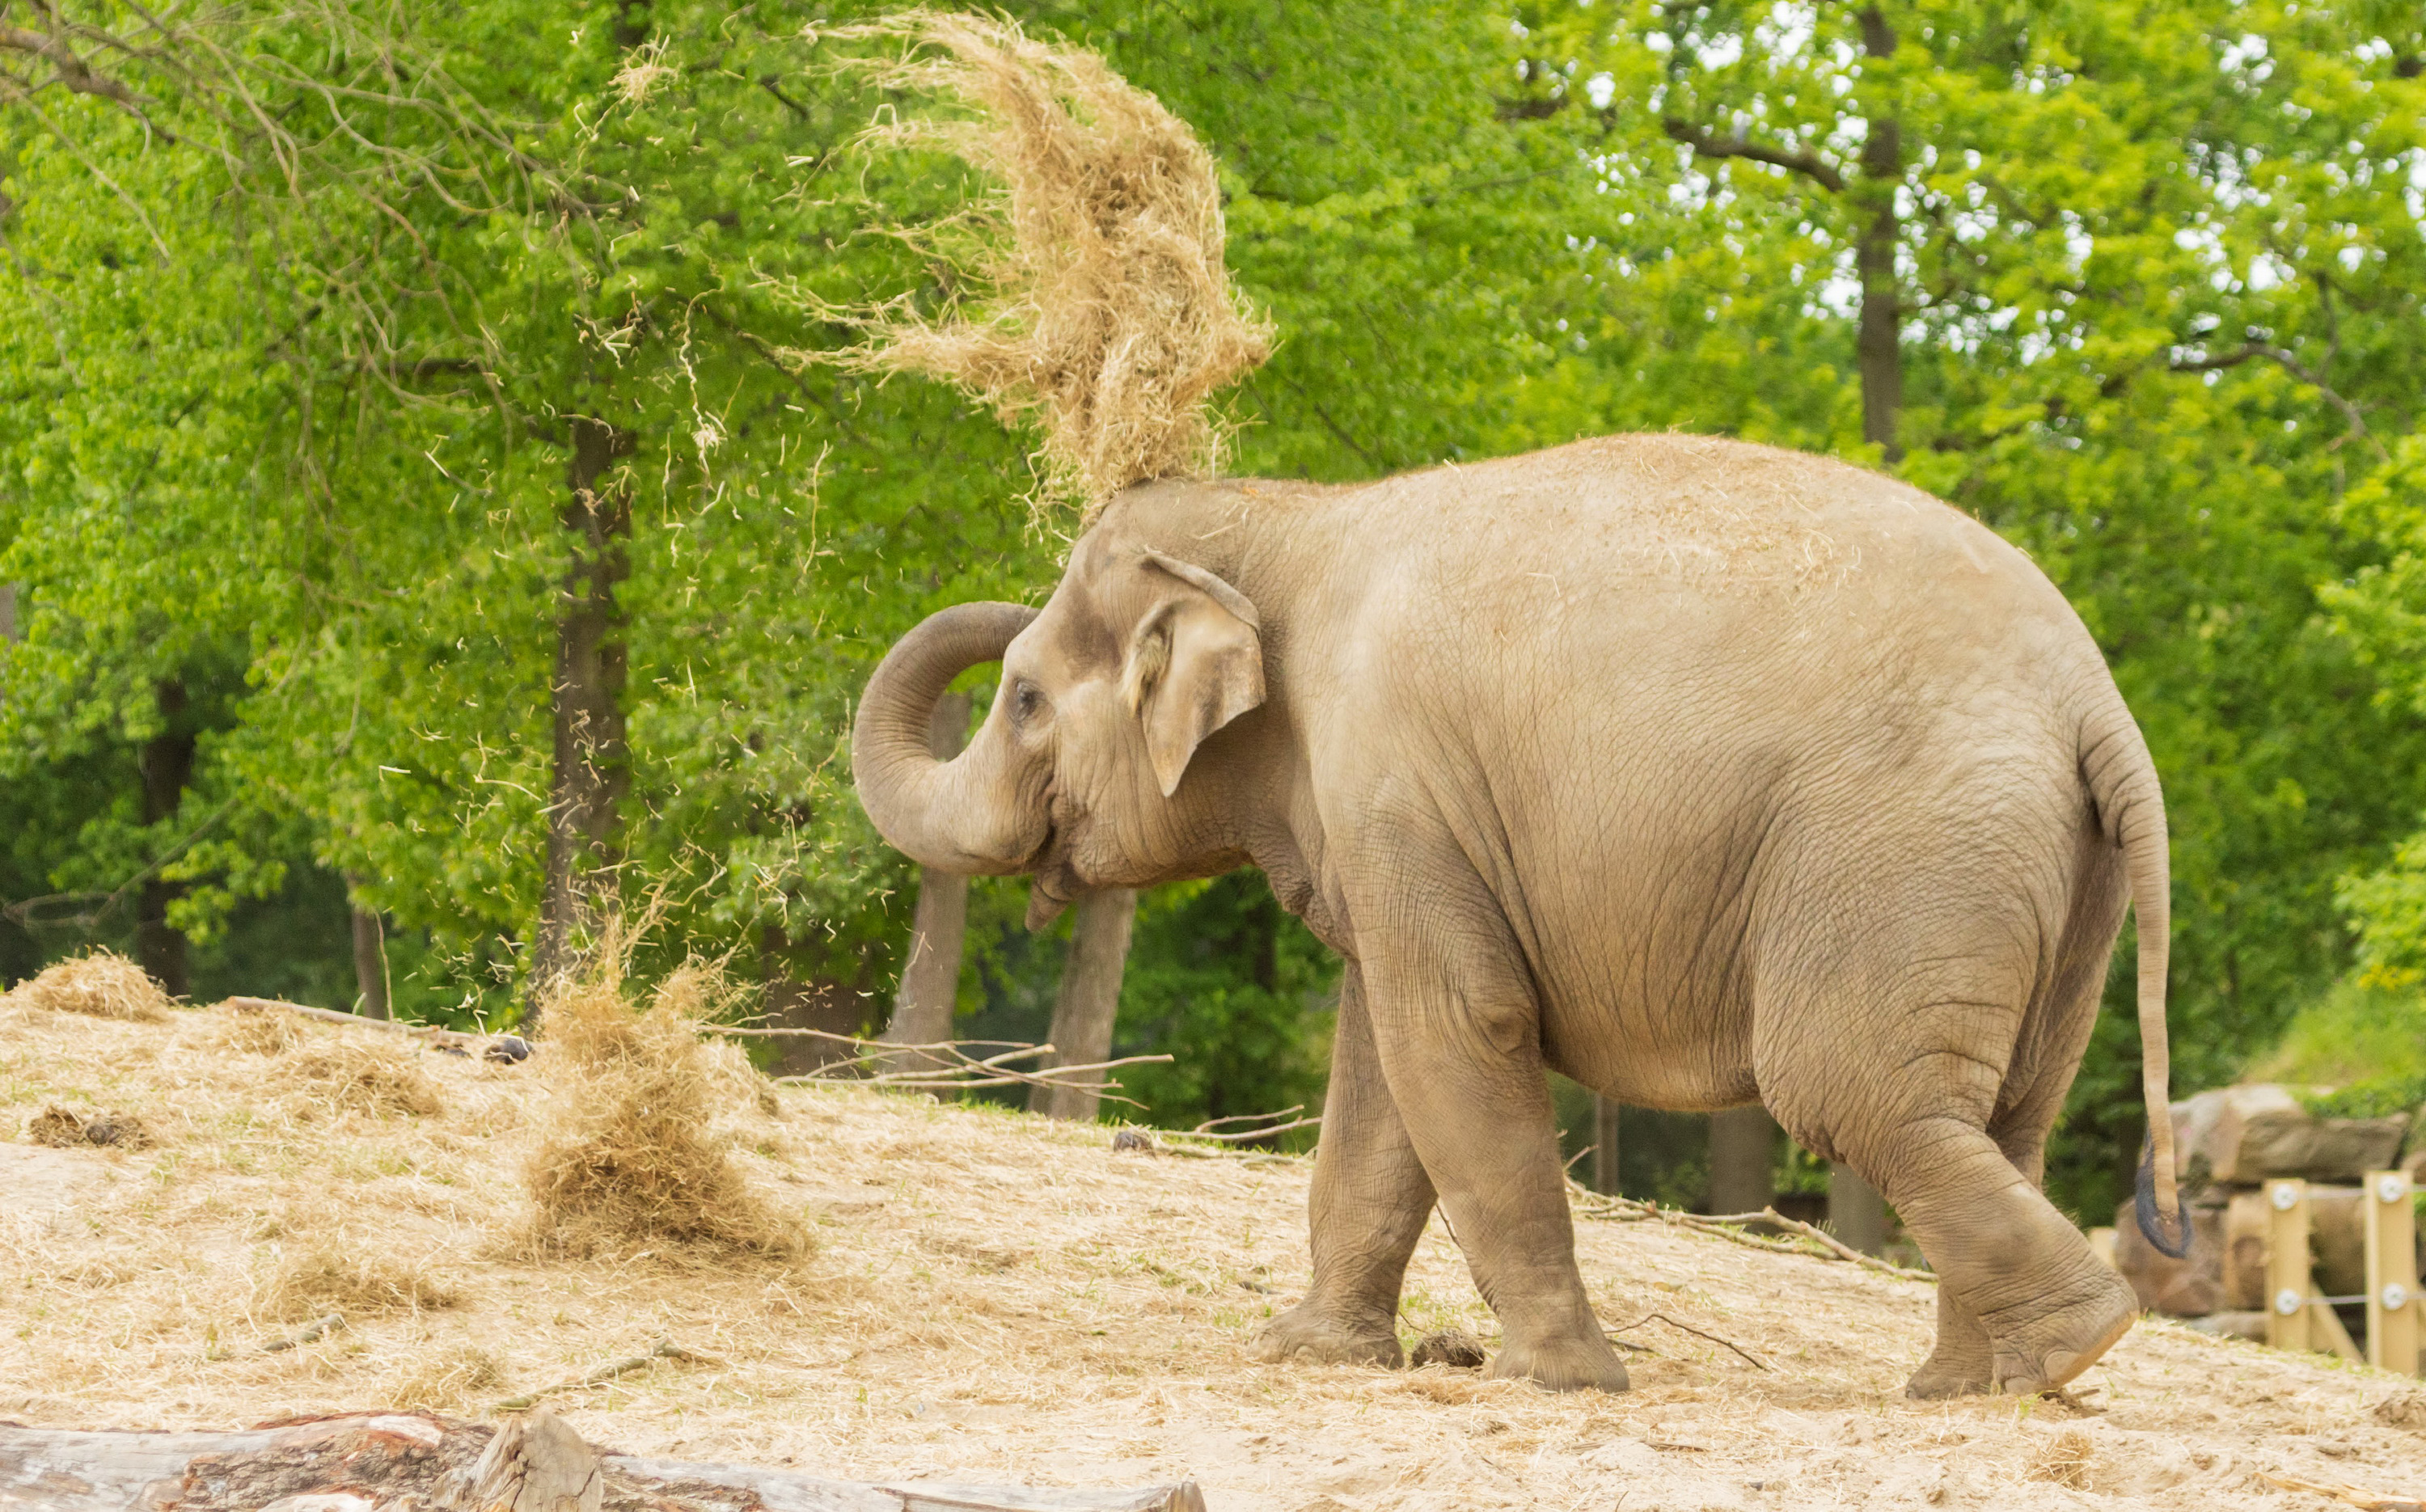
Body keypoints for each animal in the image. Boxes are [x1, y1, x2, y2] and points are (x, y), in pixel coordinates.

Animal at [854, 432, 2183, 1397]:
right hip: (2053, 885)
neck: (1290, 518)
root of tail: (2095, 700)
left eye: (1025, 698)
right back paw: (1973, 1389)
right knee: (2007, 1114)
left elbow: (1459, 1030)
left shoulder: (1393, 778)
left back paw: (2073, 1347)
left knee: (1854, 1091)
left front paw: (1560, 1379)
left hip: (1901, 852)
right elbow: (1384, 1068)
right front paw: (1311, 1353)